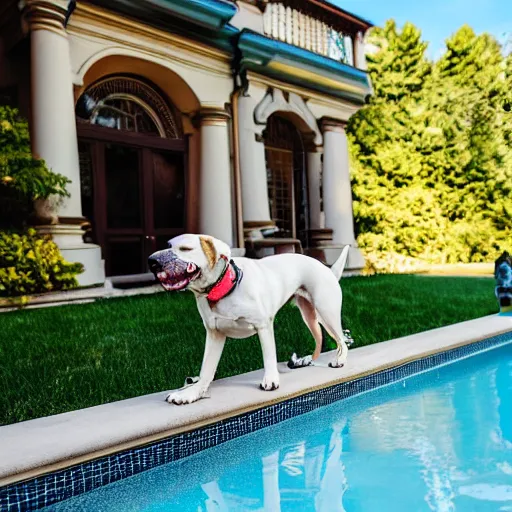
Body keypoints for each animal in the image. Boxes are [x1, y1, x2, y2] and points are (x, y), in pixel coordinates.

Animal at [148, 234, 352, 406]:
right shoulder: (214, 335)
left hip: (326, 311)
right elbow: (206, 370)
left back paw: (339, 360)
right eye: (167, 245)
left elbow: (269, 356)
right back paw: (307, 360)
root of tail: (327, 269)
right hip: (310, 315)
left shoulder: (263, 326)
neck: (223, 287)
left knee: (342, 340)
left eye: (185, 249)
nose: (152, 261)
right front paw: (192, 392)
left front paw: (271, 380)